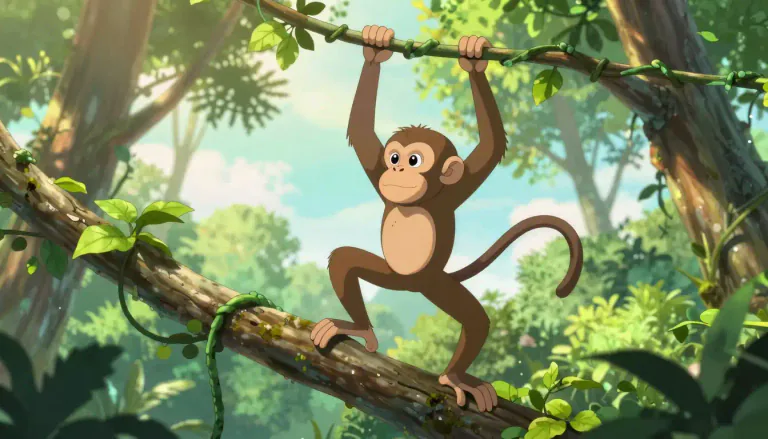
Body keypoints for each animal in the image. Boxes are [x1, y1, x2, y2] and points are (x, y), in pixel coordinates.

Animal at [310, 25, 584, 412]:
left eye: (414, 161)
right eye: (394, 158)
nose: (397, 172)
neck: (423, 199)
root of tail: (410, 285)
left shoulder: (456, 190)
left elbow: (491, 146)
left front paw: (474, 58)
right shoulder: (377, 174)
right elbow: (362, 132)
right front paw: (375, 48)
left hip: (434, 284)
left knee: (476, 320)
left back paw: (453, 377)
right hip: (391, 274)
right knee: (344, 262)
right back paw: (360, 328)